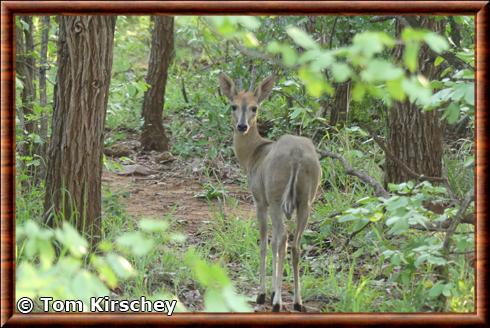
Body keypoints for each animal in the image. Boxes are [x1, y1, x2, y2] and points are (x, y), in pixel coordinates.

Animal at [218, 73, 322, 312]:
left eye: (254, 107)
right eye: (233, 105)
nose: (242, 126)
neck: (253, 155)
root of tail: (297, 156)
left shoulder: (258, 199)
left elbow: (265, 242)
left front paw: (263, 293)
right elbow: (274, 242)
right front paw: (275, 290)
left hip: (275, 197)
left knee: (282, 239)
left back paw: (276, 303)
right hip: (306, 200)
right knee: (295, 244)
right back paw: (297, 302)